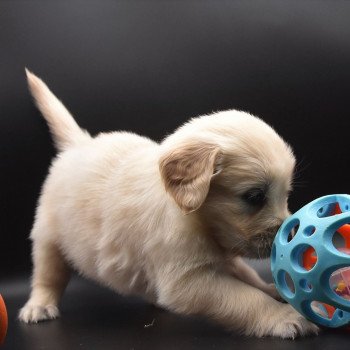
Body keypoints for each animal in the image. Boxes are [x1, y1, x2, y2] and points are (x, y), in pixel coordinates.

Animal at [19, 69, 318, 340]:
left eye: (286, 194)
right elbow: (245, 298)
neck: (193, 216)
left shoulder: (222, 258)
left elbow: (249, 278)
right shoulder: (187, 280)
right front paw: (283, 316)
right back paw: (39, 306)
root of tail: (79, 144)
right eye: (255, 197)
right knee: (47, 274)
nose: (291, 232)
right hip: (48, 236)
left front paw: (274, 291)